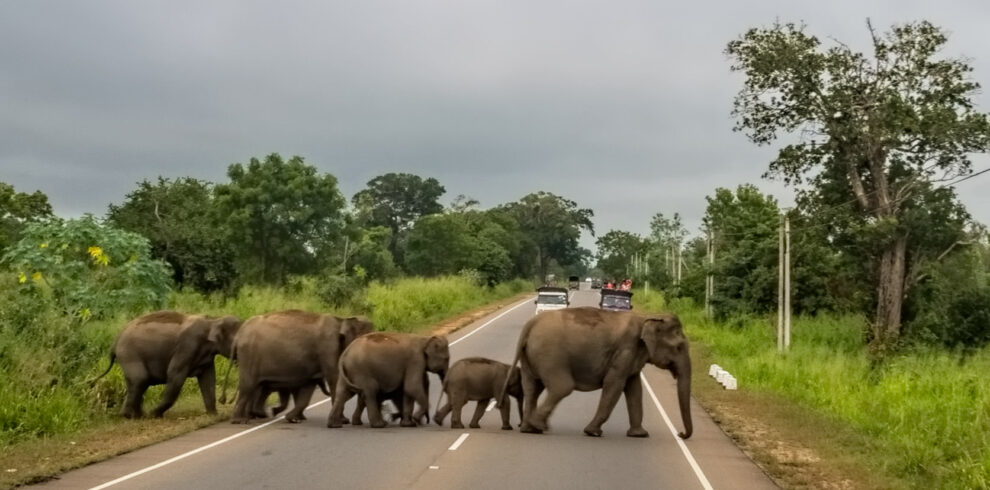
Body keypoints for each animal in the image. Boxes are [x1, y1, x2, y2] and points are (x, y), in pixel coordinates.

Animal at [92, 310, 243, 418]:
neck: (213, 320)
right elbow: (175, 376)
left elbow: (208, 379)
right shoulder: (187, 346)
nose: (224, 400)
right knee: (140, 379)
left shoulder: (205, 357)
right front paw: (153, 415)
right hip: (129, 354)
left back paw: (136, 415)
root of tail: (115, 342)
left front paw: (214, 416)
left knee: (138, 383)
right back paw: (132, 416)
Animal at [232, 312, 376, 424]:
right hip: (248, 356)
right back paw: (240, 420)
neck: (341, 320)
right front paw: (343, 420)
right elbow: (334, 379)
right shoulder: (328, 348)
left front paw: (291, 418)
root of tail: (238, 336)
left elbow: (308, 389)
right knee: (247, 386)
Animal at [508, 308, 692, 438]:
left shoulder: (632, 355)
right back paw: (538, 425)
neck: (646, 318)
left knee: (532, 388)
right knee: (562, 387)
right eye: (679, 347)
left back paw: (529, 429)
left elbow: (634, 388)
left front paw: (640, 435)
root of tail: (531, 324)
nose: (680, 434)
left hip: (531, 357)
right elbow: (614, 384)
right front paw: (593, 432)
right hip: (551, 355)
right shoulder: (625, 350)